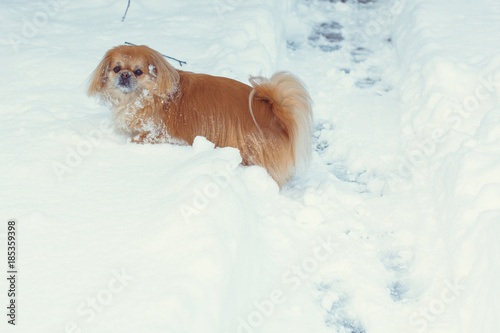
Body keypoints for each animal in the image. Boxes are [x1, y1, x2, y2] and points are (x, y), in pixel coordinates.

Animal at [88, 44, 310, 185]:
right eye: (116, 68)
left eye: (138, 72)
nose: (125, 75)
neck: (145, 97)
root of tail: (275, 112)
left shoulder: (162, 134)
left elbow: (137, 139)